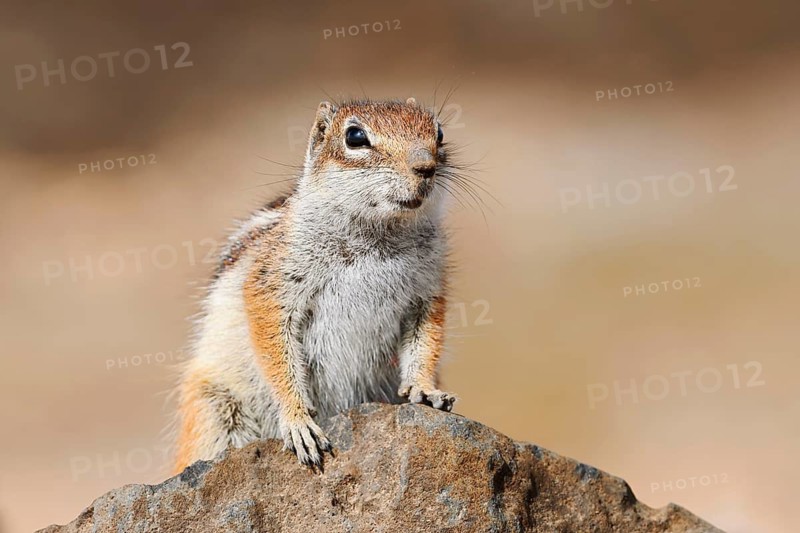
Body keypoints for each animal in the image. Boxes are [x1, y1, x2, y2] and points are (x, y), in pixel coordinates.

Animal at [173, 98, 457, 472]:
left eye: (439, 133)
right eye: (355, 137)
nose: (426, 167)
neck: (379, 235)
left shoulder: (428, 291)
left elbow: (426, 341)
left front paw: (425, 389)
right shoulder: (273, 284)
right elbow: (276, 350)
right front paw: (298, 421)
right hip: (214, 410)